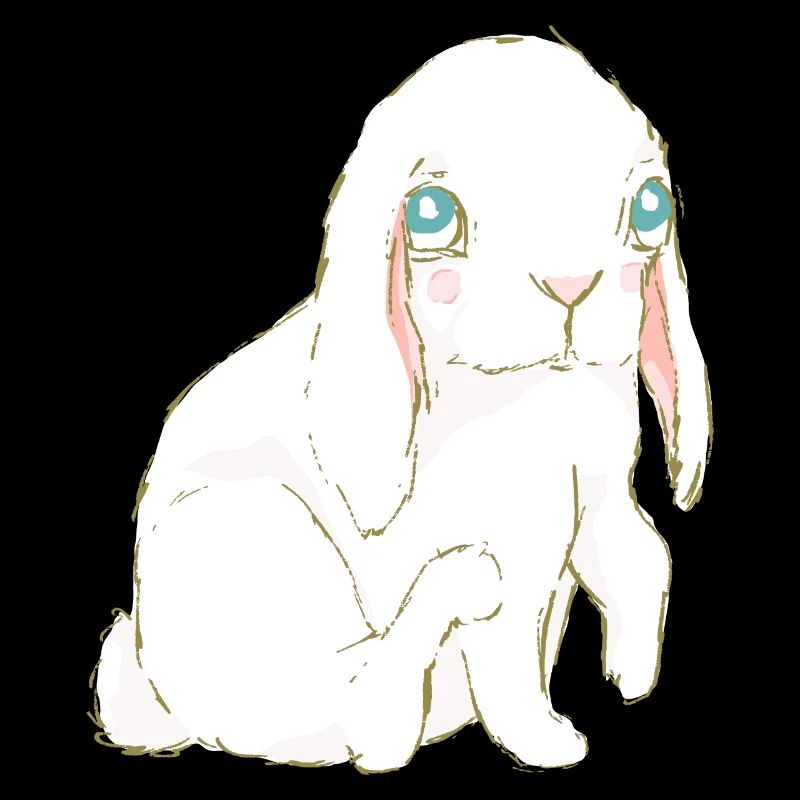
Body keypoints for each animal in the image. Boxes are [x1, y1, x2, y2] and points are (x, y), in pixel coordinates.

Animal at [93, 34, 711, 772]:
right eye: (430, 215)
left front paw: (633, 674)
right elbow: (508, 657)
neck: (531, 397)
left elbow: (642, 551)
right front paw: (546, 743)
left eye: (651, 207)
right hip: (240, 520)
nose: (571, 284)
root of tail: (160, 705)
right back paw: (454, 588)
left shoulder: (604, 482)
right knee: (371, 719)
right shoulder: (510, 548)